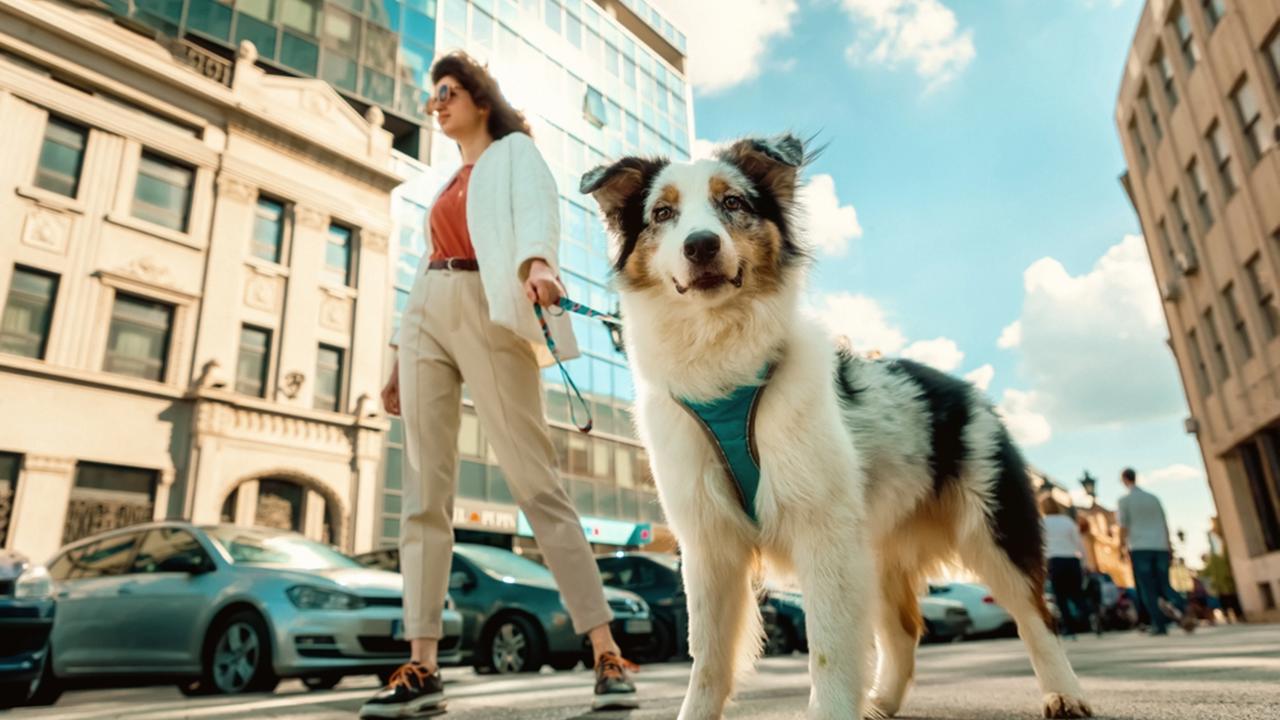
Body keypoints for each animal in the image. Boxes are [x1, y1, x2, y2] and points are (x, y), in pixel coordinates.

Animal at [581, 134, 1090, 717]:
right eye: (662, 214)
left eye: (732, 202)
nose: (701, 245)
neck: (724, 364)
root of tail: (966, 390)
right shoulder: (709, 543)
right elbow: (707, 660)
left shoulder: (823, 531)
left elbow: (827, 650)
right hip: (877, 545)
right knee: (905, 630)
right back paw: (881, 703)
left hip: (992, 525)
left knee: (1035, 615)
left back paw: (1064, 693)